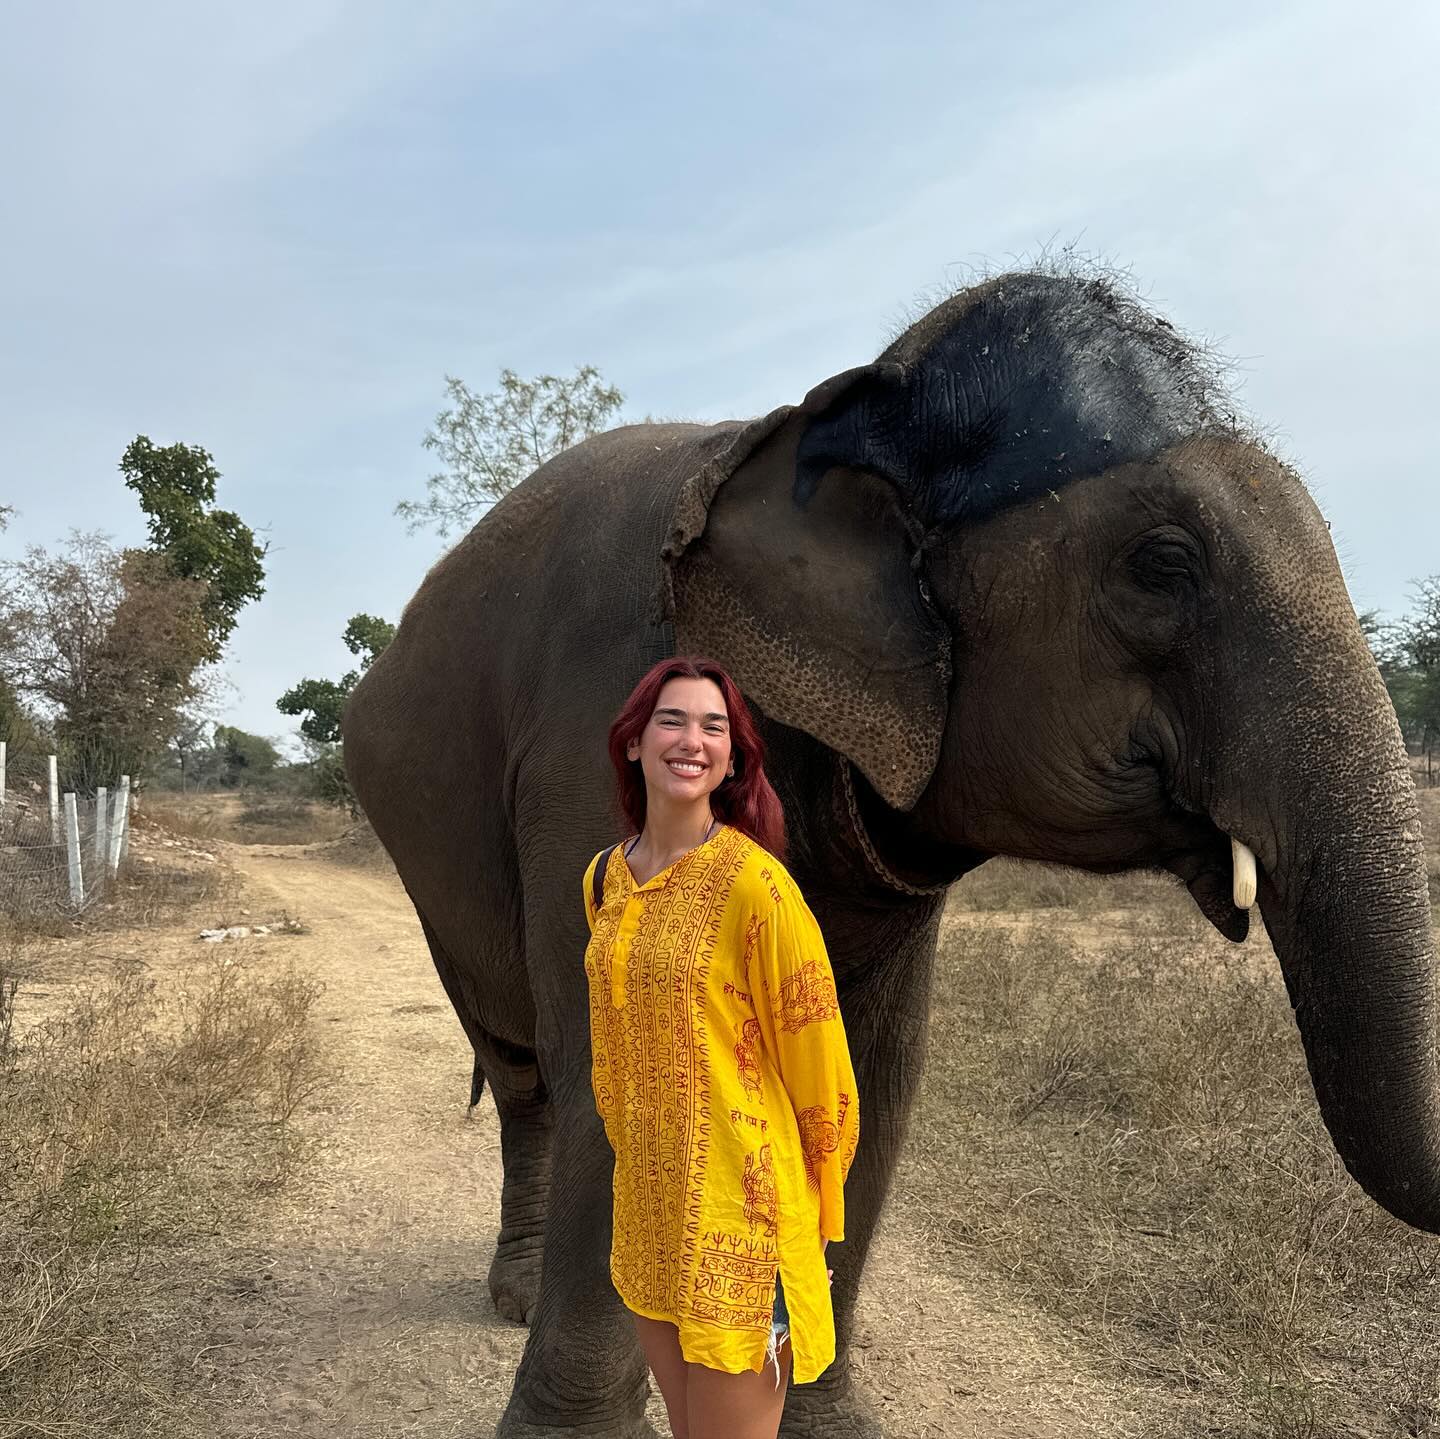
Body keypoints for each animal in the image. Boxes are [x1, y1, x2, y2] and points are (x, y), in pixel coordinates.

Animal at [343, 270, 1439, 1438]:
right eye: (1163, 565)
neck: (838, 409)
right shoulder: (594, 730)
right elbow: (623, 1055)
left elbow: (867, 1077)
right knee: (522, 1070)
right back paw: (518, 1293)